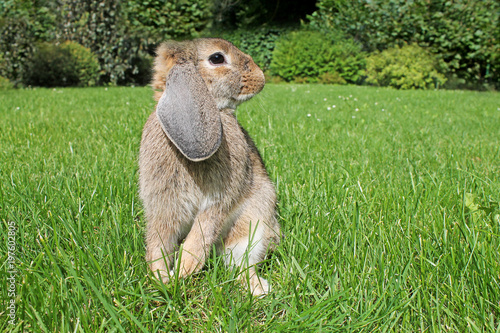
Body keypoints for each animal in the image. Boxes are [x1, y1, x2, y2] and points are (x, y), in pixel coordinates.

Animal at [140, 38, 282, 296]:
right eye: (217, 58)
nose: (261, 77)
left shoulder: (219, 198)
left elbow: (201, 231)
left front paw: (184, 269)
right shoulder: (164, 201)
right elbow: (160, 240)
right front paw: (162, 277)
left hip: (255, 221)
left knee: (240, 264)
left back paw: (260, 290)